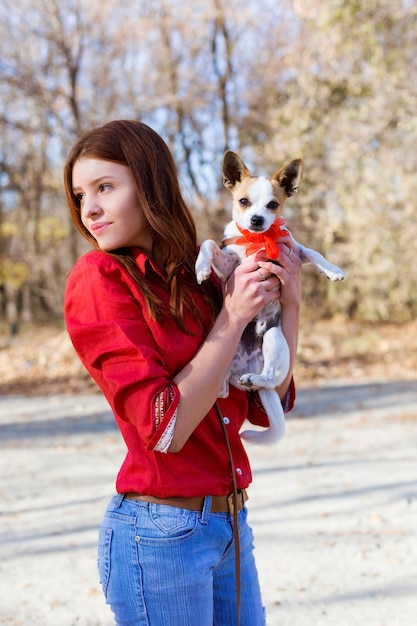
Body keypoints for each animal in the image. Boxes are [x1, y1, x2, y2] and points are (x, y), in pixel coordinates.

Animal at [195, 151, 344, 444]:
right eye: (243, 201)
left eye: (273, 204)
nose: (256, 220)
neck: (258, 240)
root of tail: (248, 366)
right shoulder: (229, 265)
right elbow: (207, 243)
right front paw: (202, 267)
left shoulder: (292, 249)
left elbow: (313, 252)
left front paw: (333, 270)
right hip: (227, 356)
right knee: (224, 390)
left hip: (273, 337)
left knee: (270, 378)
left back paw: (254, 379)